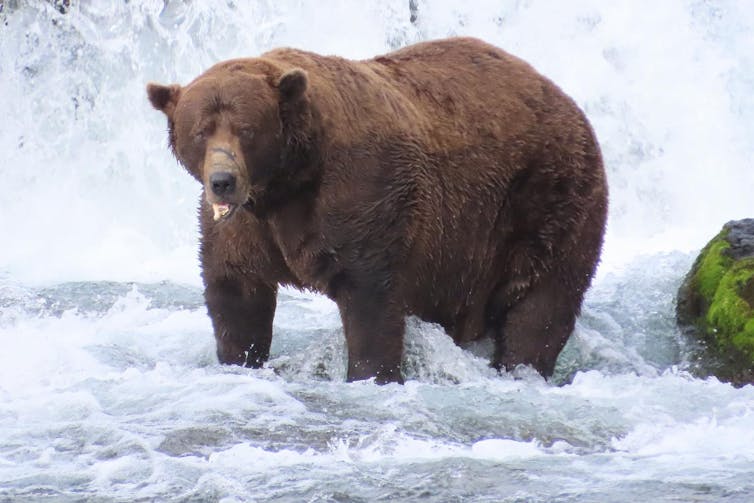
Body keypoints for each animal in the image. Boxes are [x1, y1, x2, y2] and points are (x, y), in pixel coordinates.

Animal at [147, 37, 608, 384]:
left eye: (246, 129)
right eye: (201, 131)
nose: (223, 180)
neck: (287, 183)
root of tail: (565, 99)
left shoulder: (363, 194)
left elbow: (370, 297)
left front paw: (372, 373)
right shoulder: (245, 227)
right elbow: (236, 291)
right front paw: (240, 358)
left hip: (547, 198)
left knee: (542, 302)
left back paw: (521, 367)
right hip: (465, 253)